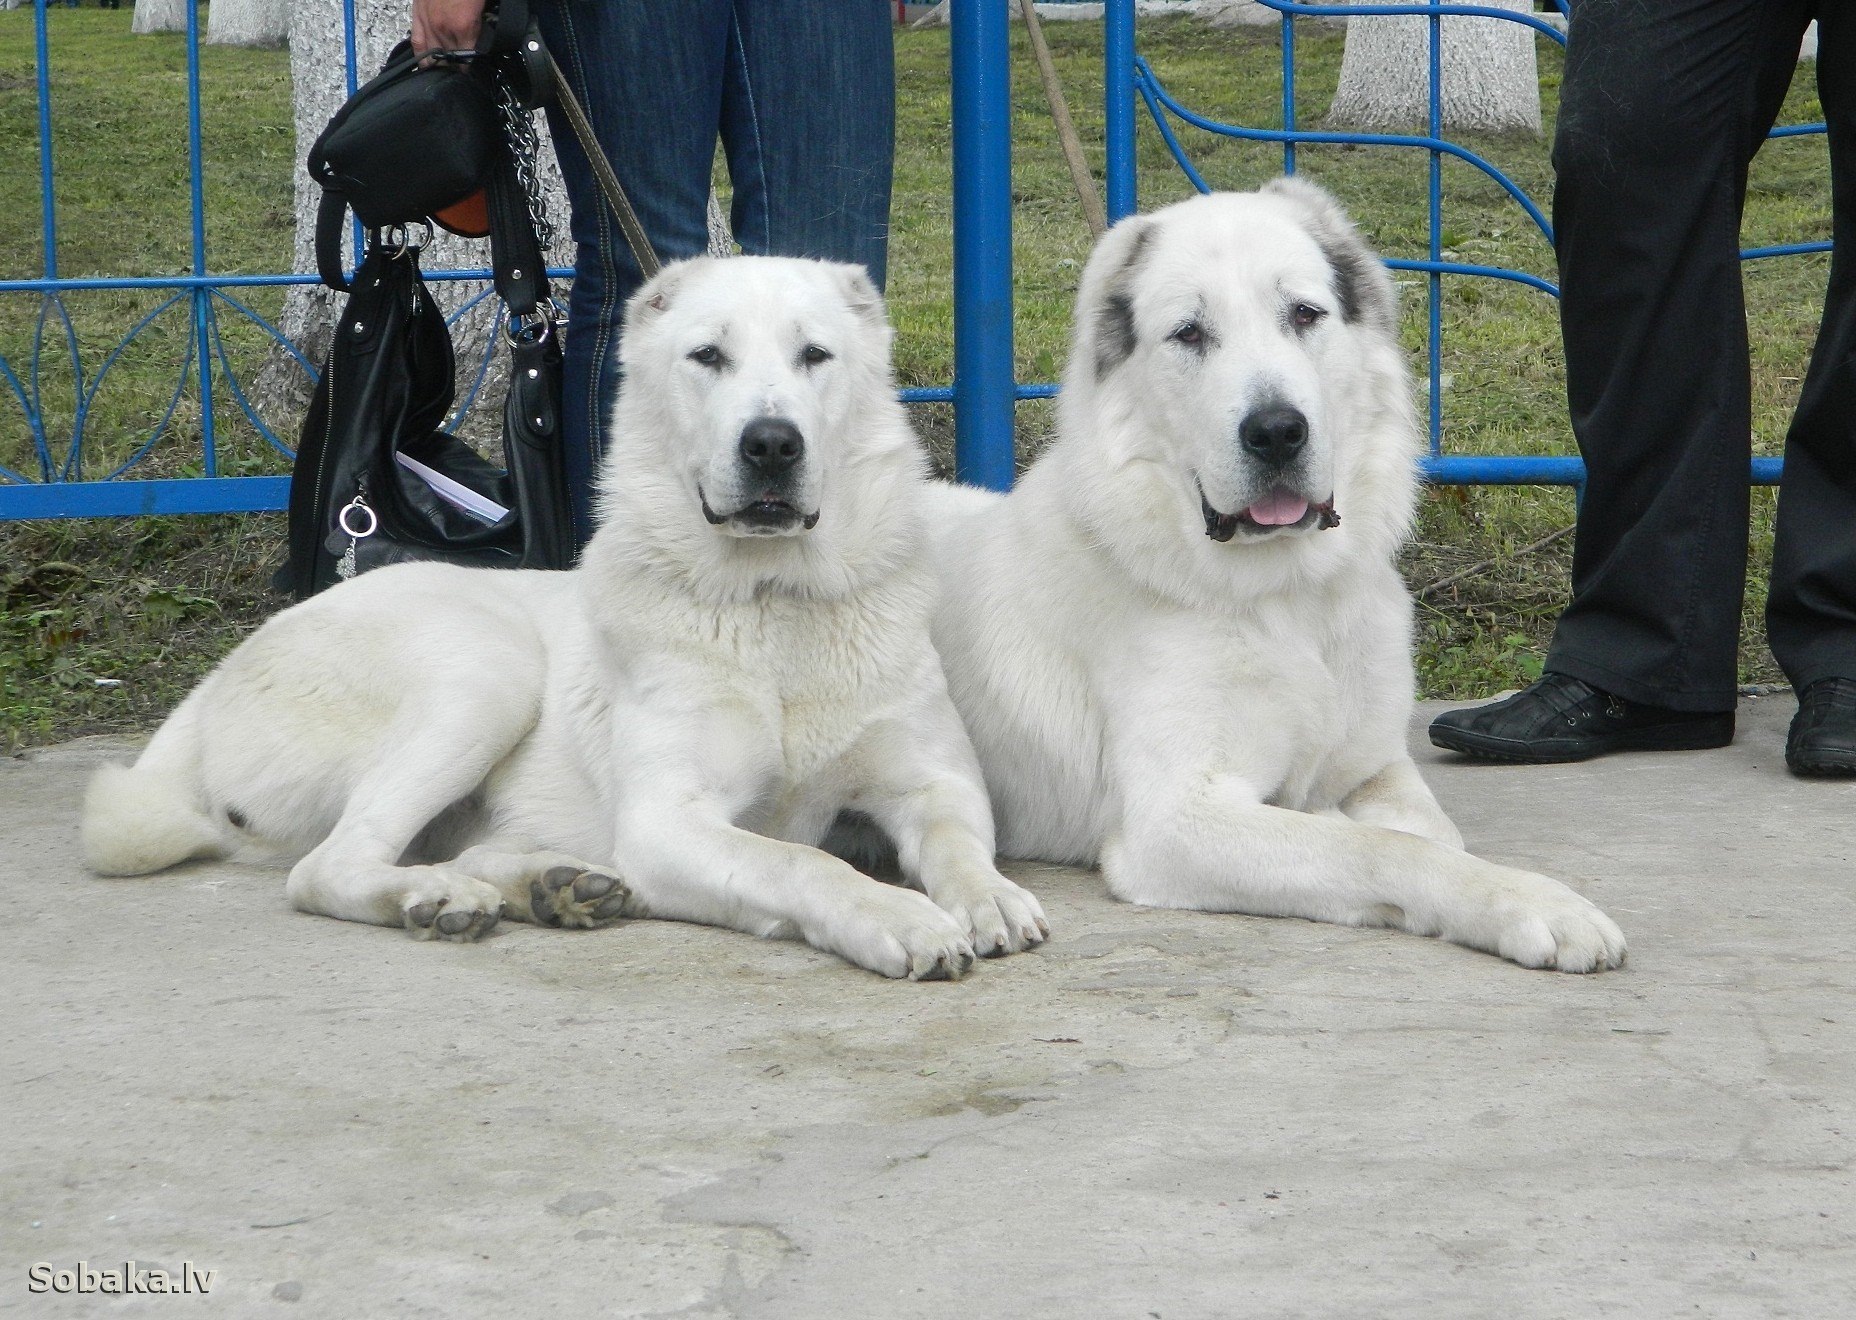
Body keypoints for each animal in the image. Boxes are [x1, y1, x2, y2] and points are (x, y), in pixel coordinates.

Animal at [83, 256, 1046, 980]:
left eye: (816, 355)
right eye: (707, 357)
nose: (772, 444)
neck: (773, 609)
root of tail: (214, 683)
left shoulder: (935, 782)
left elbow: (958, 840)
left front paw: (987, 896)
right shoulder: (668, 823)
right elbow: (802, 859)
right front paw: (898, 916)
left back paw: (552, 887)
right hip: (483, 667)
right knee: (331, 866)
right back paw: (442, 899)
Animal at [928, 182, 1625, 972]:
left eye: (1304, 314)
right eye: (1190, 333)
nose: (1276, 431)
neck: (1289, 600)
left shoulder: (1379, 769)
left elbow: (1431, 835)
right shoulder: (1176, 820)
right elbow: (1383, 849)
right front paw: (1538, 904)